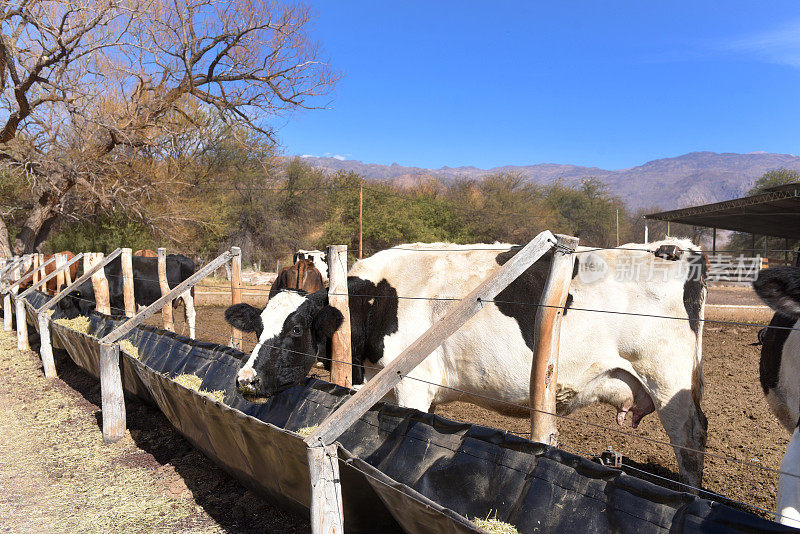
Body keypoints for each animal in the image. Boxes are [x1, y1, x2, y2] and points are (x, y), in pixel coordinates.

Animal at [58, 255, 197, 340]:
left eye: (67, 305)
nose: (60, 321)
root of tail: (183, 257)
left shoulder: (129, 305)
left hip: (188, 294)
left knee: (191, 315)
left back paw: (192, 338)